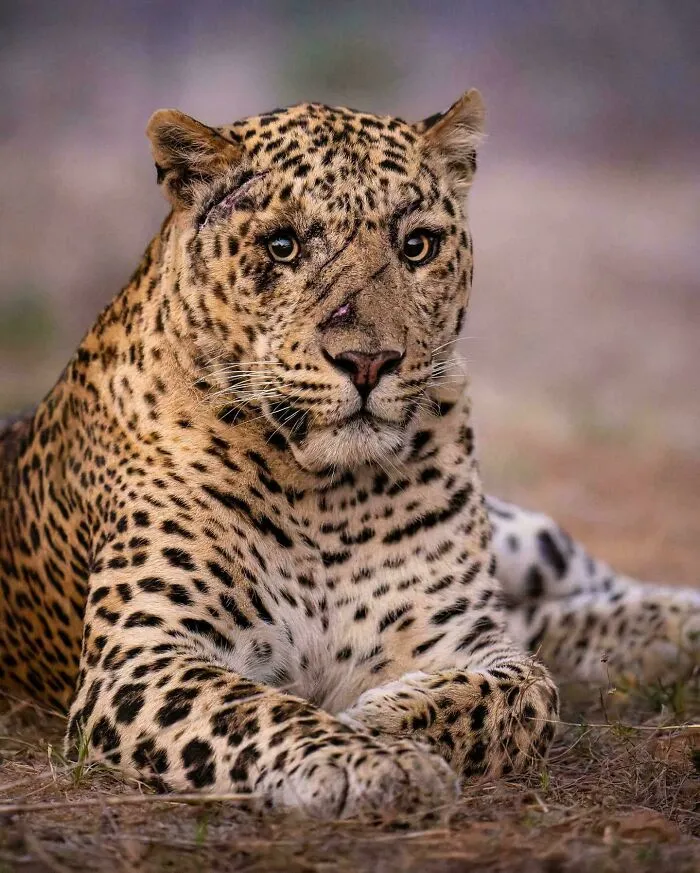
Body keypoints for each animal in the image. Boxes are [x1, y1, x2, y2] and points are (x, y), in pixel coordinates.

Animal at [1, 90, 698, 819]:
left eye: (417, 245)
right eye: (282, 246)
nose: (368, 361)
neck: (327, 498)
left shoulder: (462, 636)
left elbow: (526, 689)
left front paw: (384, 716)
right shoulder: (141, 659)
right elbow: (261, 709)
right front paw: (375, 759)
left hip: (521, 534)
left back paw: (680, 627)